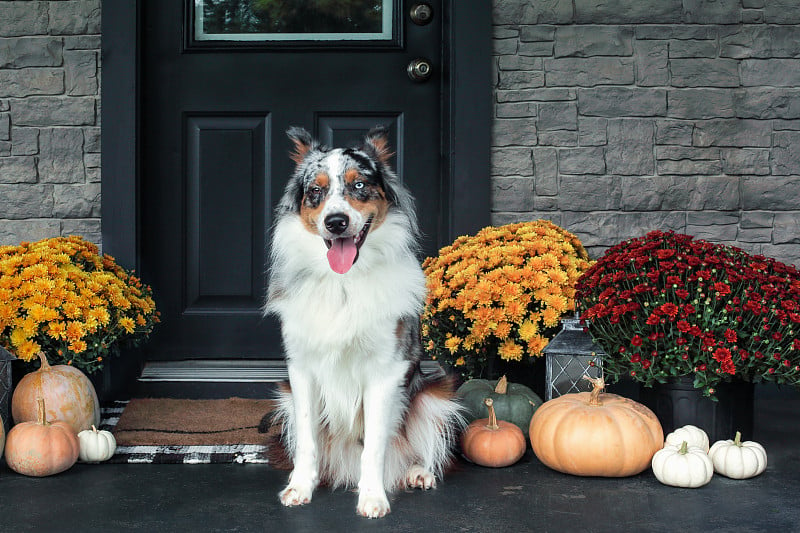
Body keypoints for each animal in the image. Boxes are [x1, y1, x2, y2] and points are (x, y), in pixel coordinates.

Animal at [266, 125, 462, 516]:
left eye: (359, 185)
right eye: (315, 191)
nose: (335, 222)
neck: (344, 282)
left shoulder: (385, 370)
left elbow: (374, 445)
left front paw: (372, 497)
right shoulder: (300, 370)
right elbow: (308, 440)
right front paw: (300, 487)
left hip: (435, 396)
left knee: (417, 449)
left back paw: (417, 472)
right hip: (285, 397)